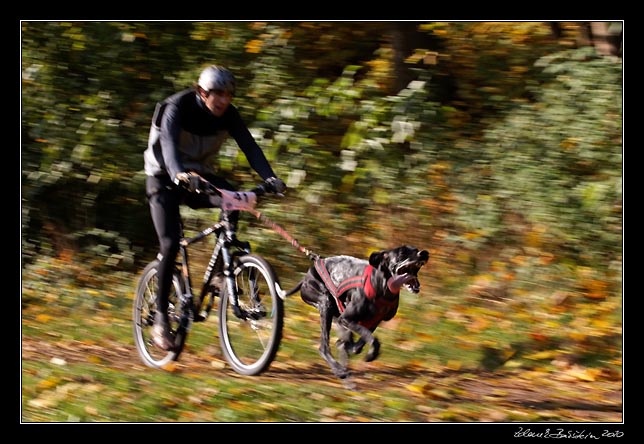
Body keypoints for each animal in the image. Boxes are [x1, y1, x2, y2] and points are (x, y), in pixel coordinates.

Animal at [284, 246, 428, 378]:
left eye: (416, 249)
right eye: (402, 252)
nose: (424, 253)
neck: (383, 288)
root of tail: (306, 276)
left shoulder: (374, 320)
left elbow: (362, 341)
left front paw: (350, 347)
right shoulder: (346, 319)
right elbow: (372, 339)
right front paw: (370, 354)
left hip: (336, 310)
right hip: (325, 304)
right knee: (323, 347)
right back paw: (338, 369)